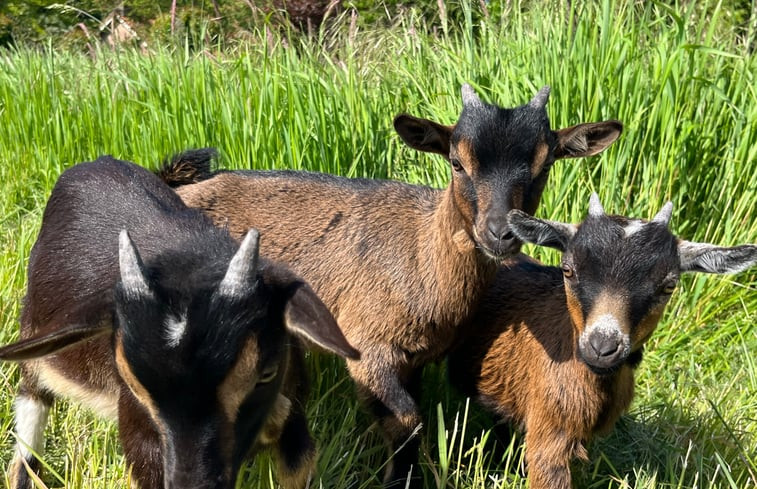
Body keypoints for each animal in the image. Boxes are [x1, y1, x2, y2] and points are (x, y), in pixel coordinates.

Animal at [158, 84, 620, 484]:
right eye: (457, 163)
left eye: (546, 165)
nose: (500, 233)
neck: (421, 257)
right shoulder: (369, 348)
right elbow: (408, 420)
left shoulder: (415, 357)